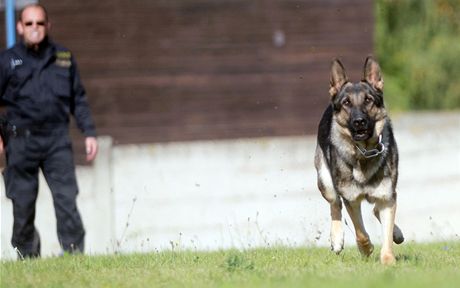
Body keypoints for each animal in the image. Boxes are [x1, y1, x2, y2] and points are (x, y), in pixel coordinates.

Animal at [316, 56, 402, 266]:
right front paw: (366, 248)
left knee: (377, 212)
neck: (364, 152)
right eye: (346, 103)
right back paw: (337, 239)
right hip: (325, 181)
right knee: (335, 205)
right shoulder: (352, 200)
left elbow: (386, 233)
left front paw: (388, 260)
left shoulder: (387, 197)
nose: (359, 121)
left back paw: (396, 233)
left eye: (368, 100)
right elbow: (360, 232)